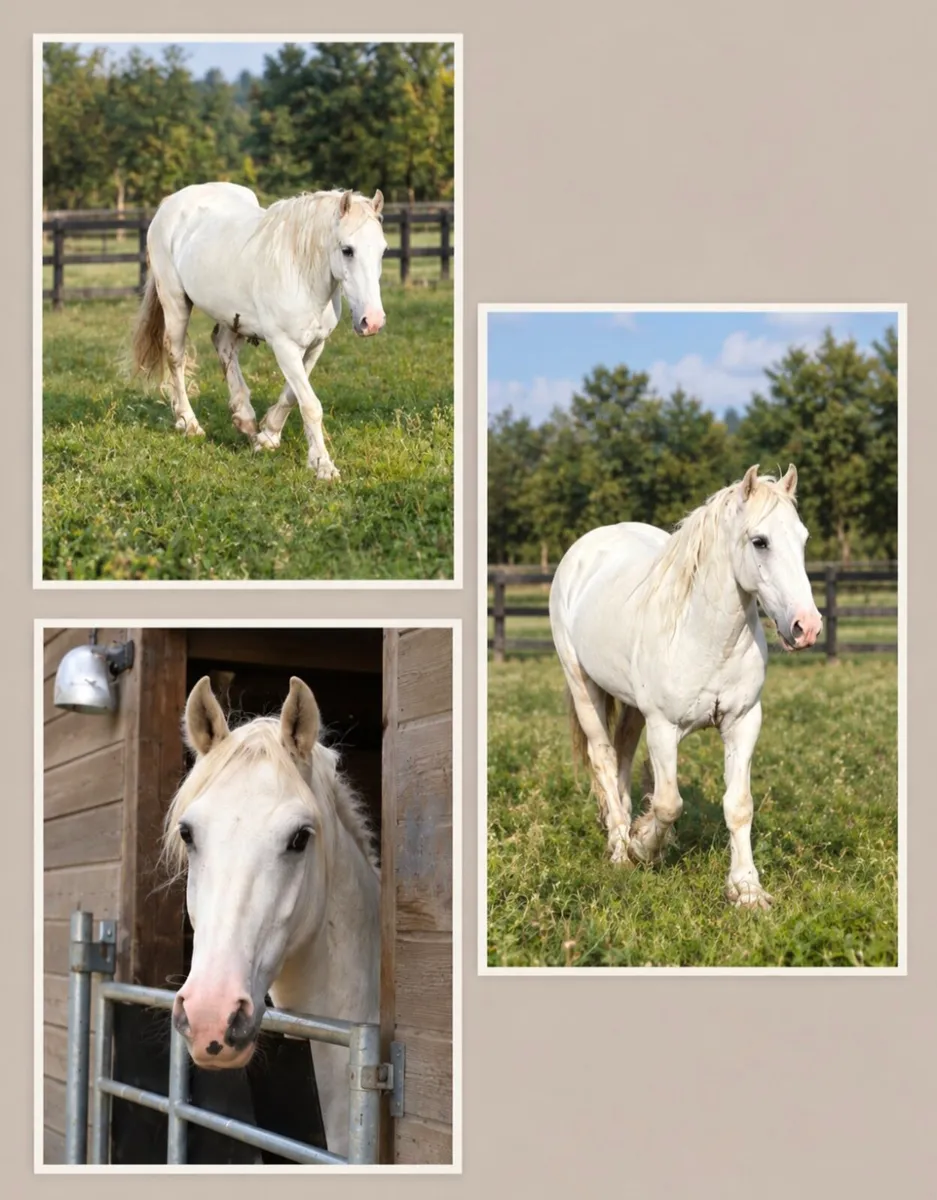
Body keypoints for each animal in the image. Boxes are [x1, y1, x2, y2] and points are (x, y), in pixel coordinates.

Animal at [132, 182, 387, 480]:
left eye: (383, 250)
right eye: (347, 250)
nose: (373, 321)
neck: (300, 273)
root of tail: (171, 202)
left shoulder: (314, 346)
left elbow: (292, 396)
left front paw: (268, 437)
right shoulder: (284, 346)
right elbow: (311, 405)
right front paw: (323, 466)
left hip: (231, 316)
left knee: (223, 346)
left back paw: (244, 418)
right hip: (175, 304)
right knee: (176, 358)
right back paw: (189, 423)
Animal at [549, 464, 822, 910]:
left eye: (802, 539)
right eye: (760, 541)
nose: (807, 627)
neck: (705, 637)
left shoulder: (744, 722)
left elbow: (739, 806)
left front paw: (747, 890)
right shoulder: (663, 727)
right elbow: (668, 803)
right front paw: (644, 847)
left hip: (632, 707)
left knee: (622, 754)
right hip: (582, 685)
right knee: (603, 757)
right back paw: (620, 848)